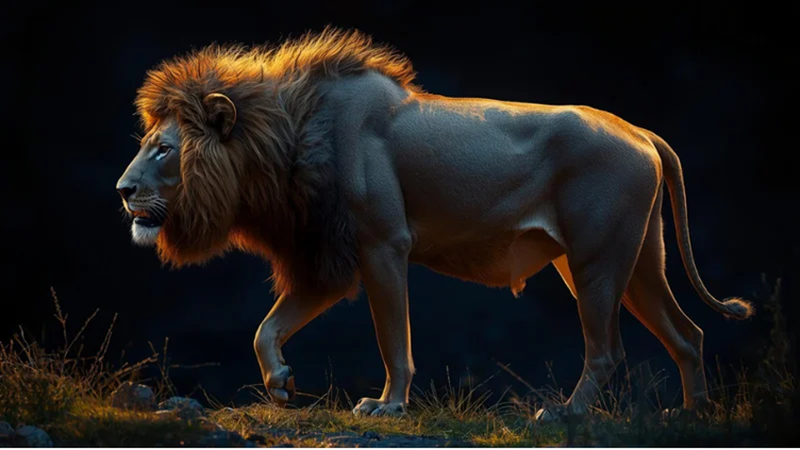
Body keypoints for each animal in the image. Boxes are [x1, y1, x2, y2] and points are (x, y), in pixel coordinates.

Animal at [116, 27, 754, 419]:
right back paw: (689, 416)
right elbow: (266, 328)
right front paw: (280, 384)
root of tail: (641, 131)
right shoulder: (329, 257)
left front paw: (387, 405)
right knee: (688, 335)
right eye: (147, 143)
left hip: (596, 265)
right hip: (634, 263)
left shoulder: (381, 244)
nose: (122, 192)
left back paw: (565, 414)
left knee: (607, 351)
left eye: (164, 149)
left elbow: (392, 338)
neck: (286, 139)